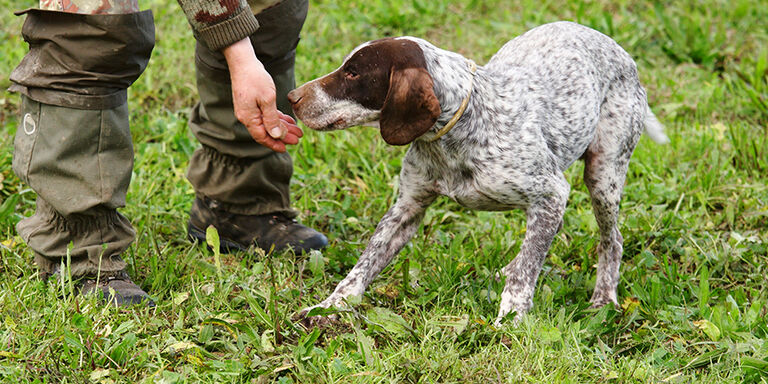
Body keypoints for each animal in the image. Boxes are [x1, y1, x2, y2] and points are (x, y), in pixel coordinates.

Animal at [286, 21, 664, 326]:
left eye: (353, 74)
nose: (291, 97)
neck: (456, 134)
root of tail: (619, 51)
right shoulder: (407, 207)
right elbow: (363, 265)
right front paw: (330, 306)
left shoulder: (551, 194)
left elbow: (524, 274)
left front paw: (510, 320)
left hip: (604, 175)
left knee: (611, 240)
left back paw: (604, 298)